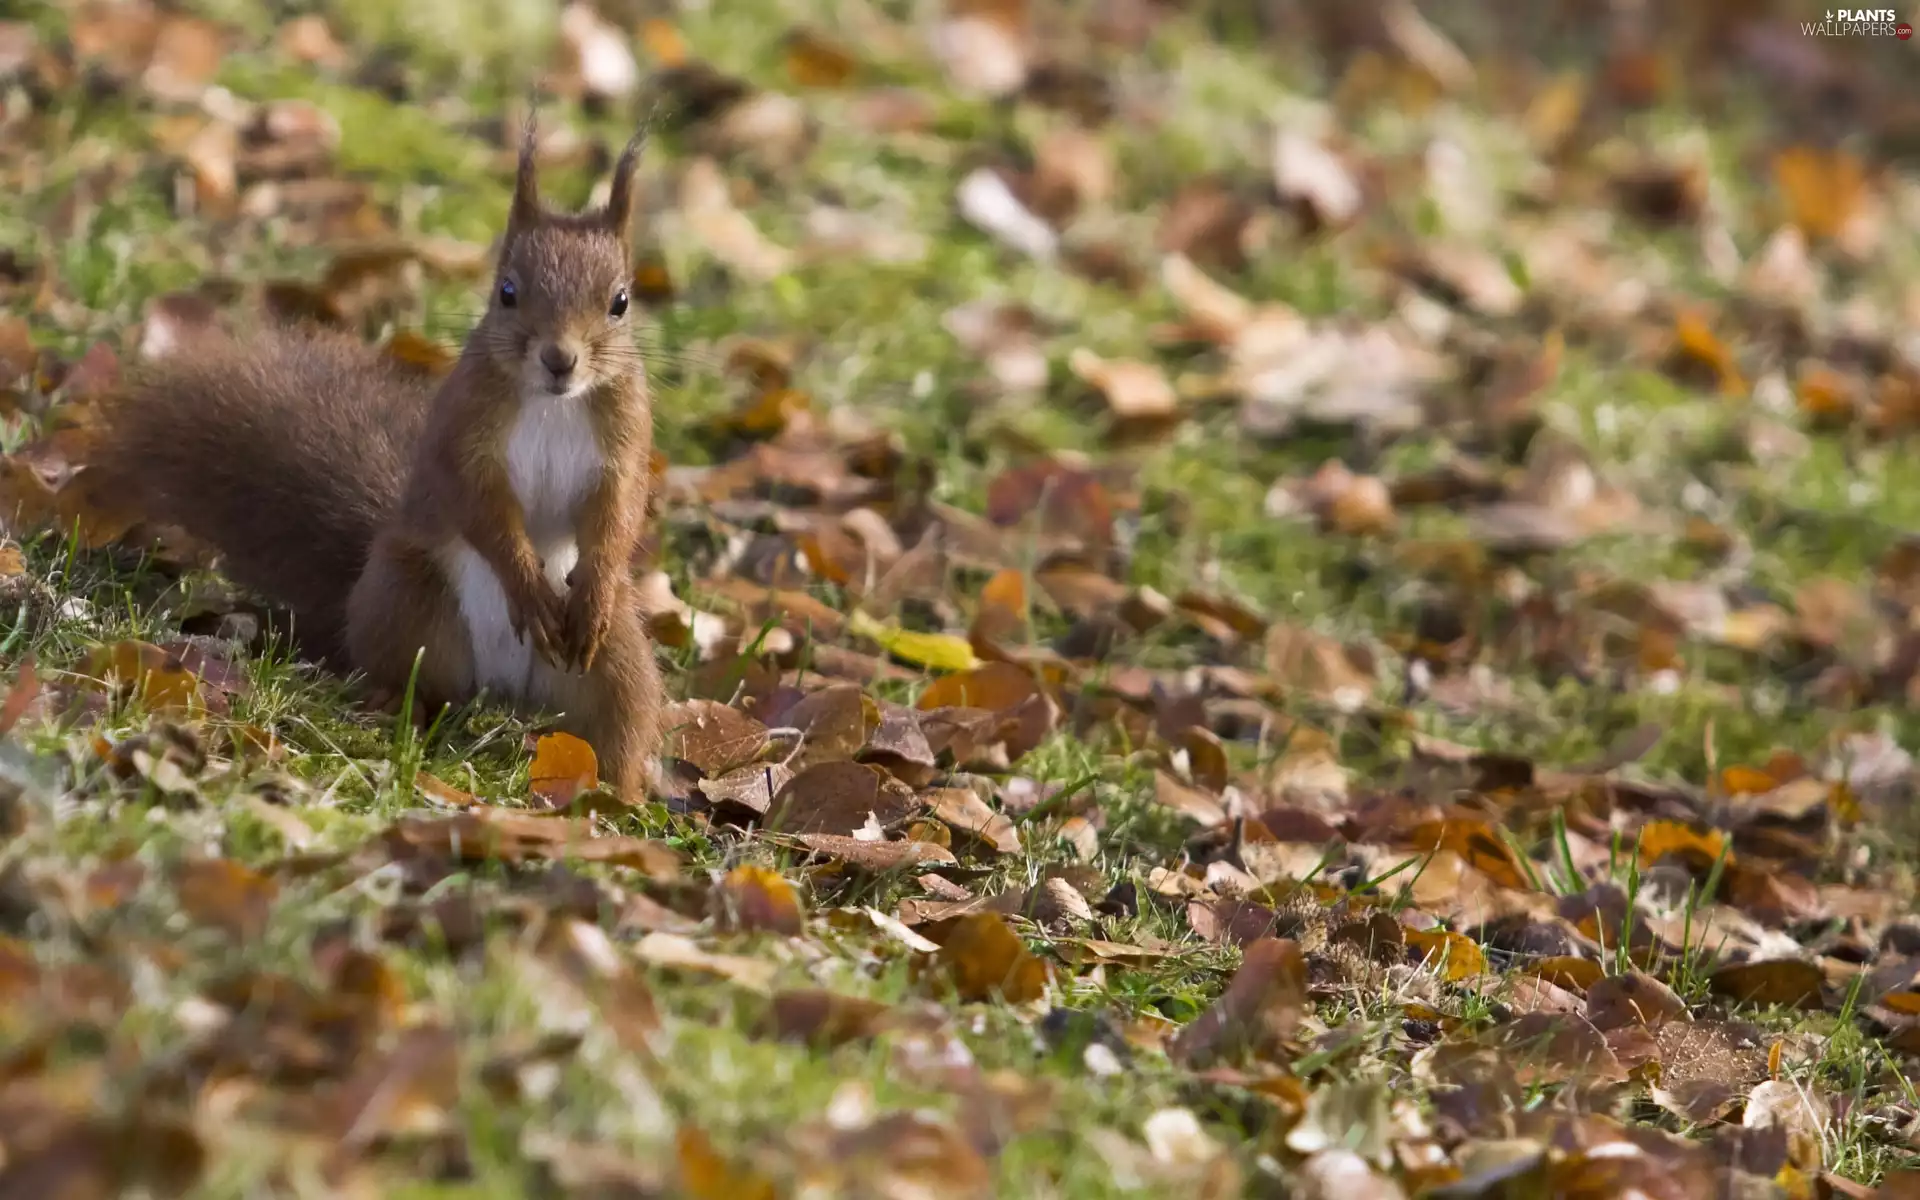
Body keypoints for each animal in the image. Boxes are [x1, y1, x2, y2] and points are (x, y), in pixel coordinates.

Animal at [94, 121, 665, 799]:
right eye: (506, 291)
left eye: (621, 302)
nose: (560, 359)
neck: (555, 404)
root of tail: (505, 688)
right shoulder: (461, 433)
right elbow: (478, 503)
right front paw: (525, 584)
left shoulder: (625, 439)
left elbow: (619, 509)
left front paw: (596, 581)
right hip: (406, 598)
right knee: (414, 678)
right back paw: (395, 706)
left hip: (615, 661)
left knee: (617, 724)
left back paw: (618, 795)